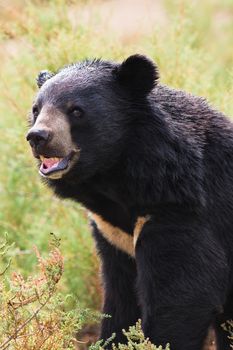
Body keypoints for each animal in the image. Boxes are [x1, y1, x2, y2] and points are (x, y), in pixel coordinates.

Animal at [26, 55, 232, 350]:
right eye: (36, 109)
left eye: (76, 111)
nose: (38, 137)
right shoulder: (111, 233)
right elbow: (122, 300)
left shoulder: (181, 210)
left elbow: (184, 295)